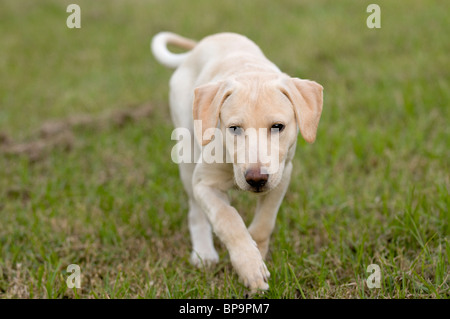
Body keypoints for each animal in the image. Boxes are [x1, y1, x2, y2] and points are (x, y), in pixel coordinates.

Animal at [152, 31, 324, 292]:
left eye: (278, 126)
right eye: (234, 128)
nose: (256, 179)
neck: (250, 72)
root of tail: (198, 46)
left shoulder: (282, 175)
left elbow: (264, 223)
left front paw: (258, 254)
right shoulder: (204, 185)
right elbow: (228, 219)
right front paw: (249, 267)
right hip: (187, 155)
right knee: (196, 211)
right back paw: (204, 252)